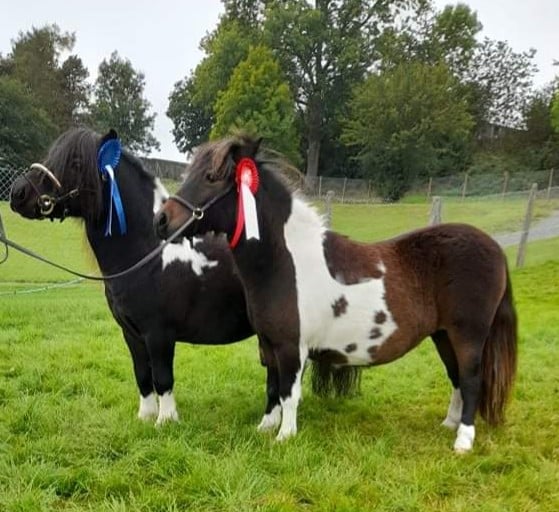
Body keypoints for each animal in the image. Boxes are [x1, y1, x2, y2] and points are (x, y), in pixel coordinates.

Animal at [9, 128, 270, 424]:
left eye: (75, 163)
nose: (18, 193)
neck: (150, 254)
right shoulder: (131, 334)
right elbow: (143, 375)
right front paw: (145, 417)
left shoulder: (158, 333)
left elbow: (162, 377)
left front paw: (166, 420)